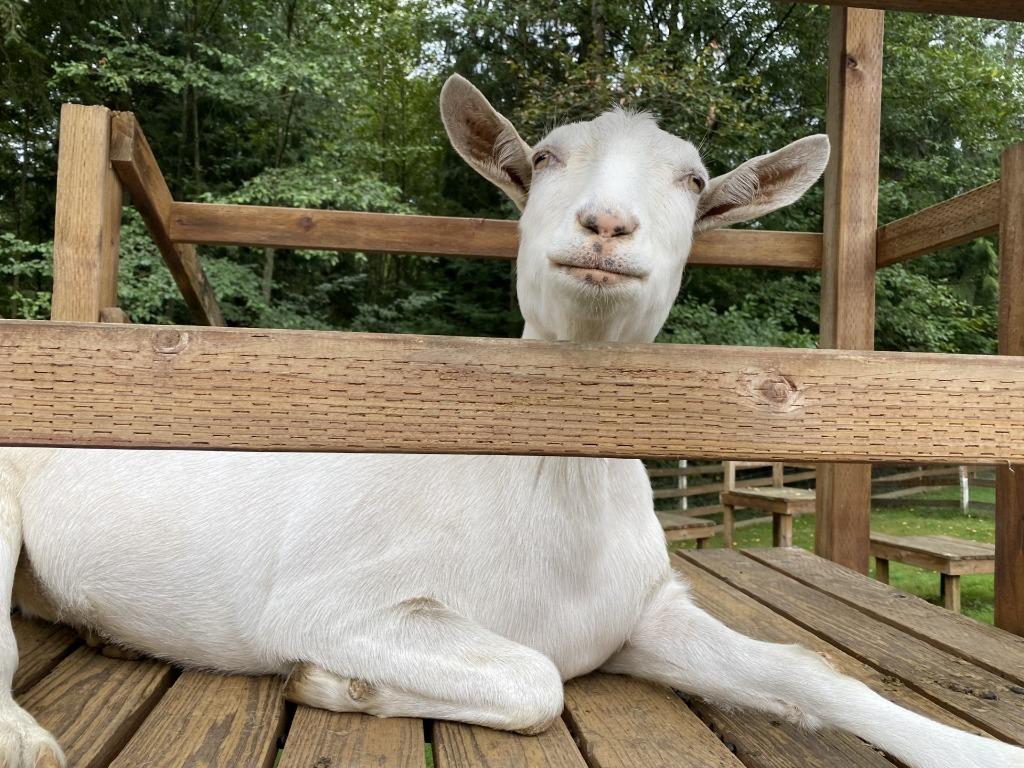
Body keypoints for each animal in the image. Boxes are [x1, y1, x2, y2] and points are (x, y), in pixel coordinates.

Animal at [0, 74, 1020, 768]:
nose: (605, 226)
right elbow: (538, 679)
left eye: (694, 181)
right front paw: (336, 683)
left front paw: (982, 749)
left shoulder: (643, 613)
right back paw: (28, 736)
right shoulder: (323, 600)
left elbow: (809, 670)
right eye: (545, 161)